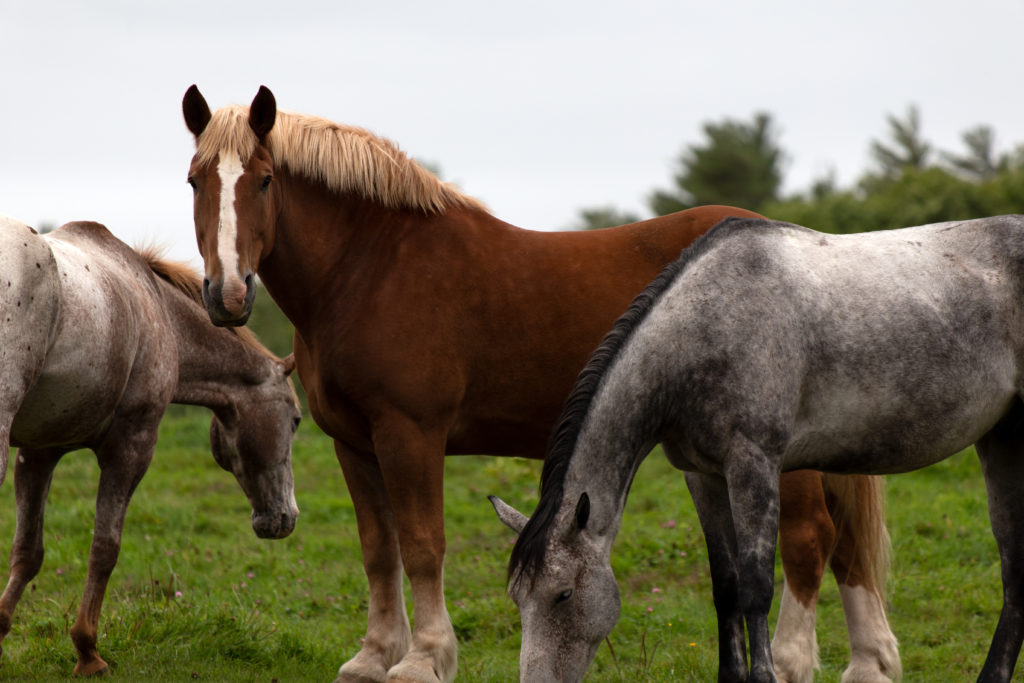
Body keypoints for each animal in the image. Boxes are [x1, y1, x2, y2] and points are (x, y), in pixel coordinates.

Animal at [0, 216, 299, 675]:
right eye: (296, 421)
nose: (285, 518)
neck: (159, 312)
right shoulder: (131, 448)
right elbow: (105, 548)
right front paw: (87, 651)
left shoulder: (39, 452)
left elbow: (28, 551)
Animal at [182, 85, 897, 683]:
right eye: (194, 181)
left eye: (265, 182)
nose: (228, 295)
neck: (372, 269)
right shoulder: (353, 443)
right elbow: (379, 550)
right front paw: (372, 658)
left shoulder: (410, 434)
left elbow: (422, 544)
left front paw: (424, 660)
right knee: (844, 546)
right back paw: (869, 665)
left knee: (809, 540)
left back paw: (795, 661)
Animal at [497, 215, 1024, 683]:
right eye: (518, 598)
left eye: (563, 595)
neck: (704, 329)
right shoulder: (703, 476)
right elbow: (726, 585)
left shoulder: (754, 466)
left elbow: (756, 585)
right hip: (1001, 441)